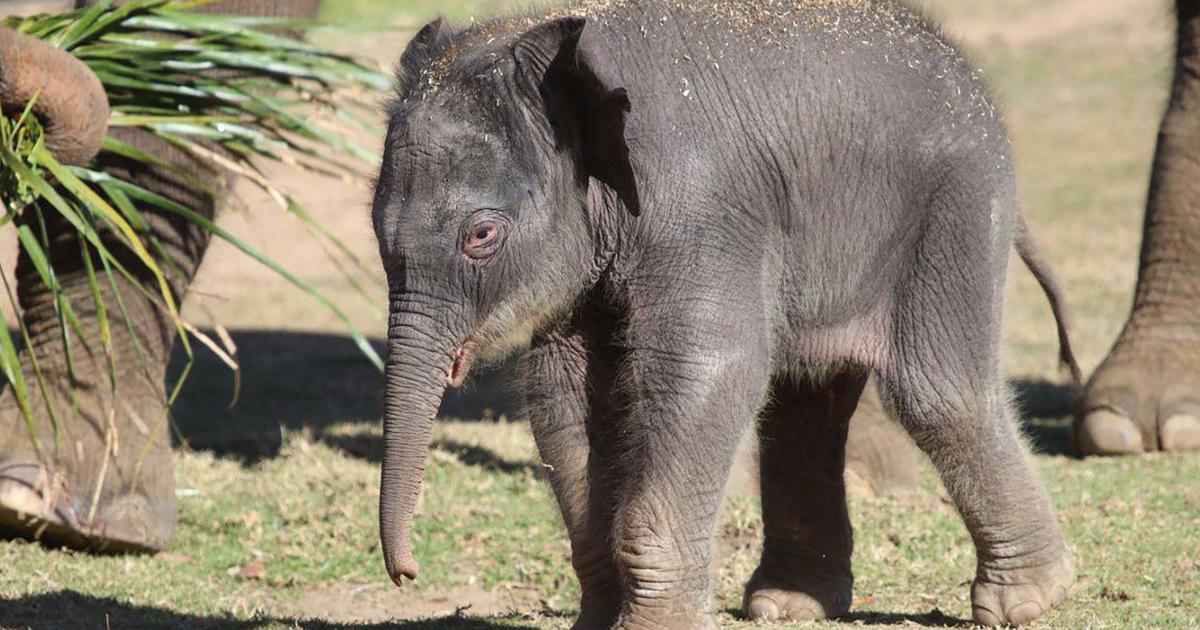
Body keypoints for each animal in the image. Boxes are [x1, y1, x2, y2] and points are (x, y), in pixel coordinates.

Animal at [369, 2, 1075, 624]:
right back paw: (786, 605)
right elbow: (563, 391)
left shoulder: (700, 203)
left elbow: (710, 370)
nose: (407, 575)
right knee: (807, 400)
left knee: (938, 393)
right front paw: (600, 620)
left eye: (481, 235)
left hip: (955, 207)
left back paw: (1024, 603)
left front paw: (651, 626)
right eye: (376, 229)